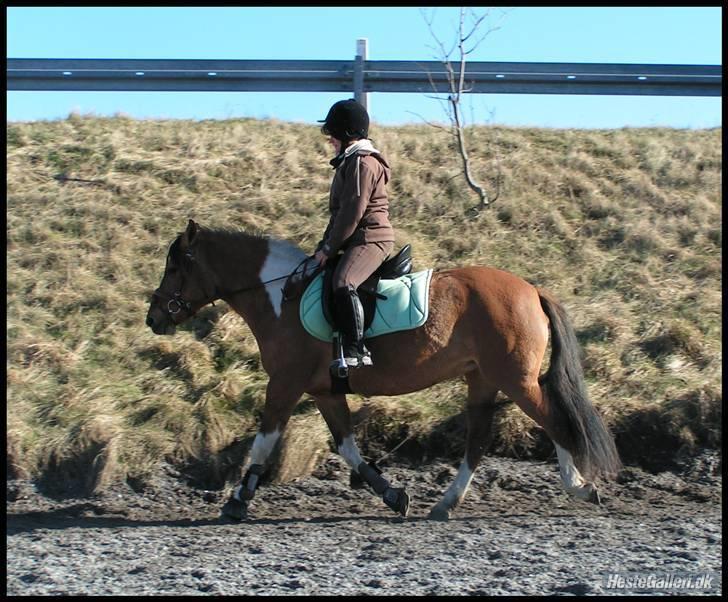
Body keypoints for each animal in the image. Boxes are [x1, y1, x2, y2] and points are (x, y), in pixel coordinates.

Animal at [148, 220, 620, 520]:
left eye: (175, 266)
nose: (153, 317)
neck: (281, 295)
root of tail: (531, 289)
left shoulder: (284, 384)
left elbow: (264, 444)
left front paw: (237, 500)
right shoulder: (324, 391)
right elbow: (348, 448)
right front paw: (393, 494)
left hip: (515, 380)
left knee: (555, 421)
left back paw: (580, 486)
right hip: (483, 380)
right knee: (478, 441)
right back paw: (446, 503)